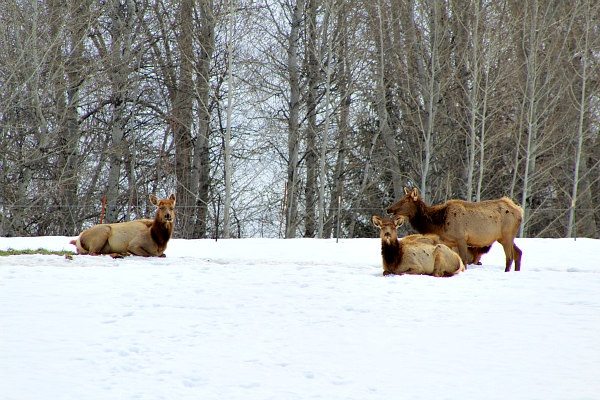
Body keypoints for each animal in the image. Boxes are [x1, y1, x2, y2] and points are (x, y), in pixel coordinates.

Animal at [386, 188, 524, 272]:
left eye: (404, 200)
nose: (389, 209)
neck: (439, 224)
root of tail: (520, 211)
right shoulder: (448, 242)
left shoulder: (461, 238)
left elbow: (463, 260)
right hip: (504, 237)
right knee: (519, 252)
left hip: (507, 235)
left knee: (510, 257)